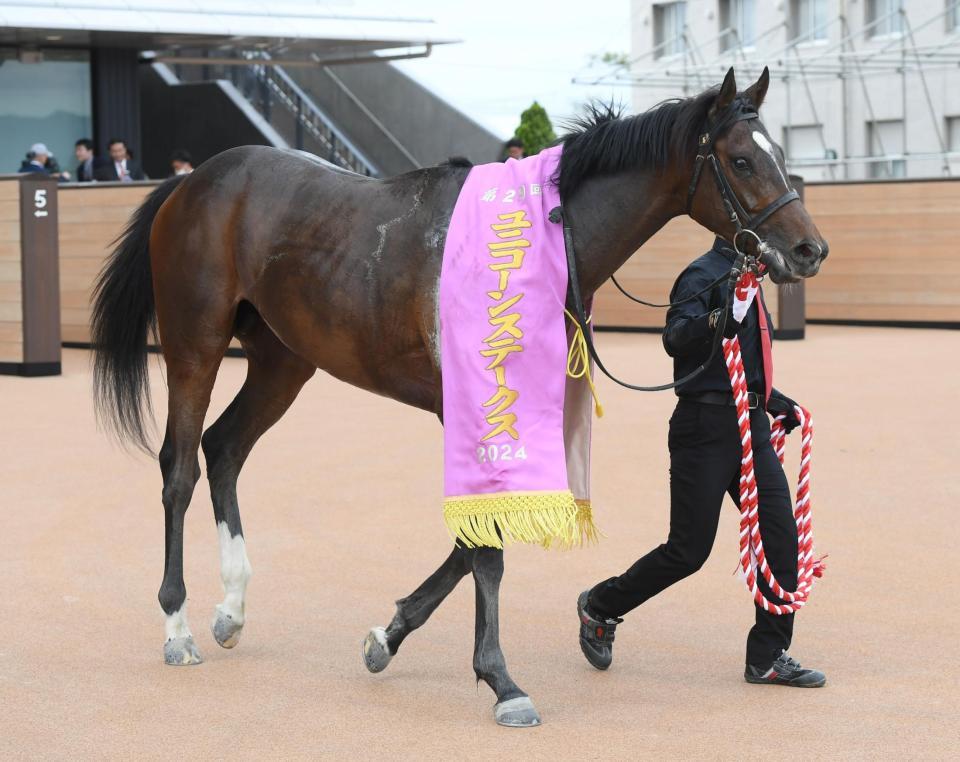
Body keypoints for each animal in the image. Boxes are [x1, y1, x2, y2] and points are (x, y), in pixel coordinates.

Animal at [92, 67, 824, 724]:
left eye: (783, 156)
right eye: (741, 159)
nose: (809, 249)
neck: (537, 242)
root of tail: (194, 180)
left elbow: (475, 537)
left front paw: (388, 637)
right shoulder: (469, 411)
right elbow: (485, 547)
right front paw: (502, 681)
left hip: (282, 359)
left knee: (224, 448)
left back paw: (232, 610)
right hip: (195, 343)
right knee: (180, 468)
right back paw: (178, 626)